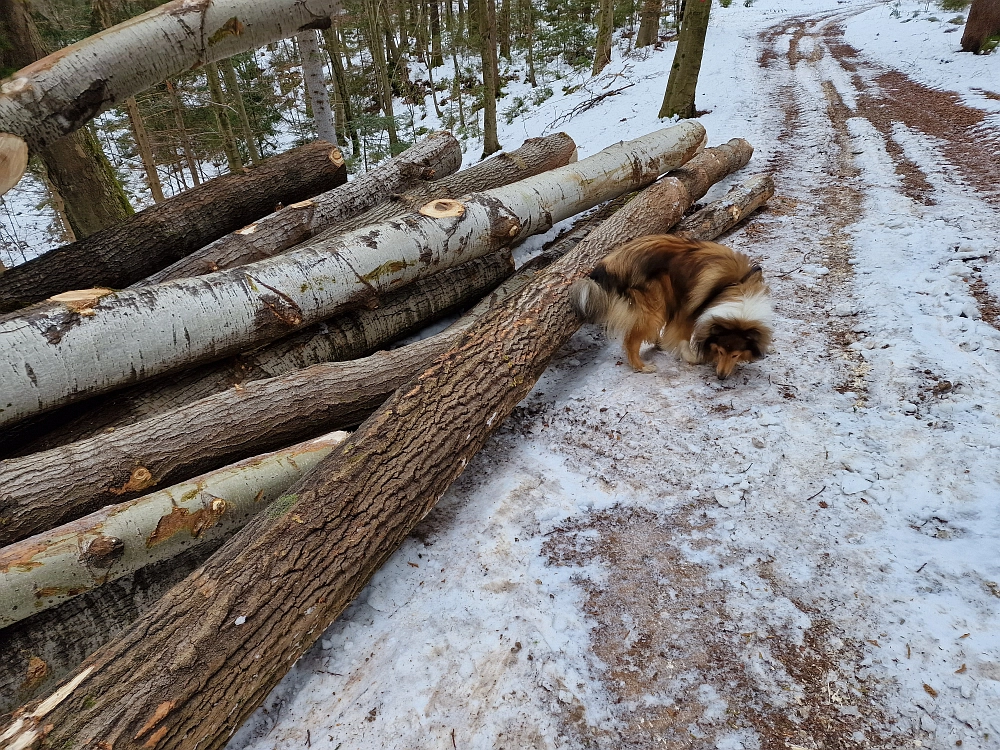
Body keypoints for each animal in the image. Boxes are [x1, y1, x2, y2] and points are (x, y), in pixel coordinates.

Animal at [572, 236, 772, 378]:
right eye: (721, 351)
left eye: (735, 355)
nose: (721, 377)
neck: (734, 287)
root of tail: (610, 264)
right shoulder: (689, 310)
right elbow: (682, 336)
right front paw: (692, 357)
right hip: (655, 304)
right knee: (631, 340)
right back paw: (642, 366)